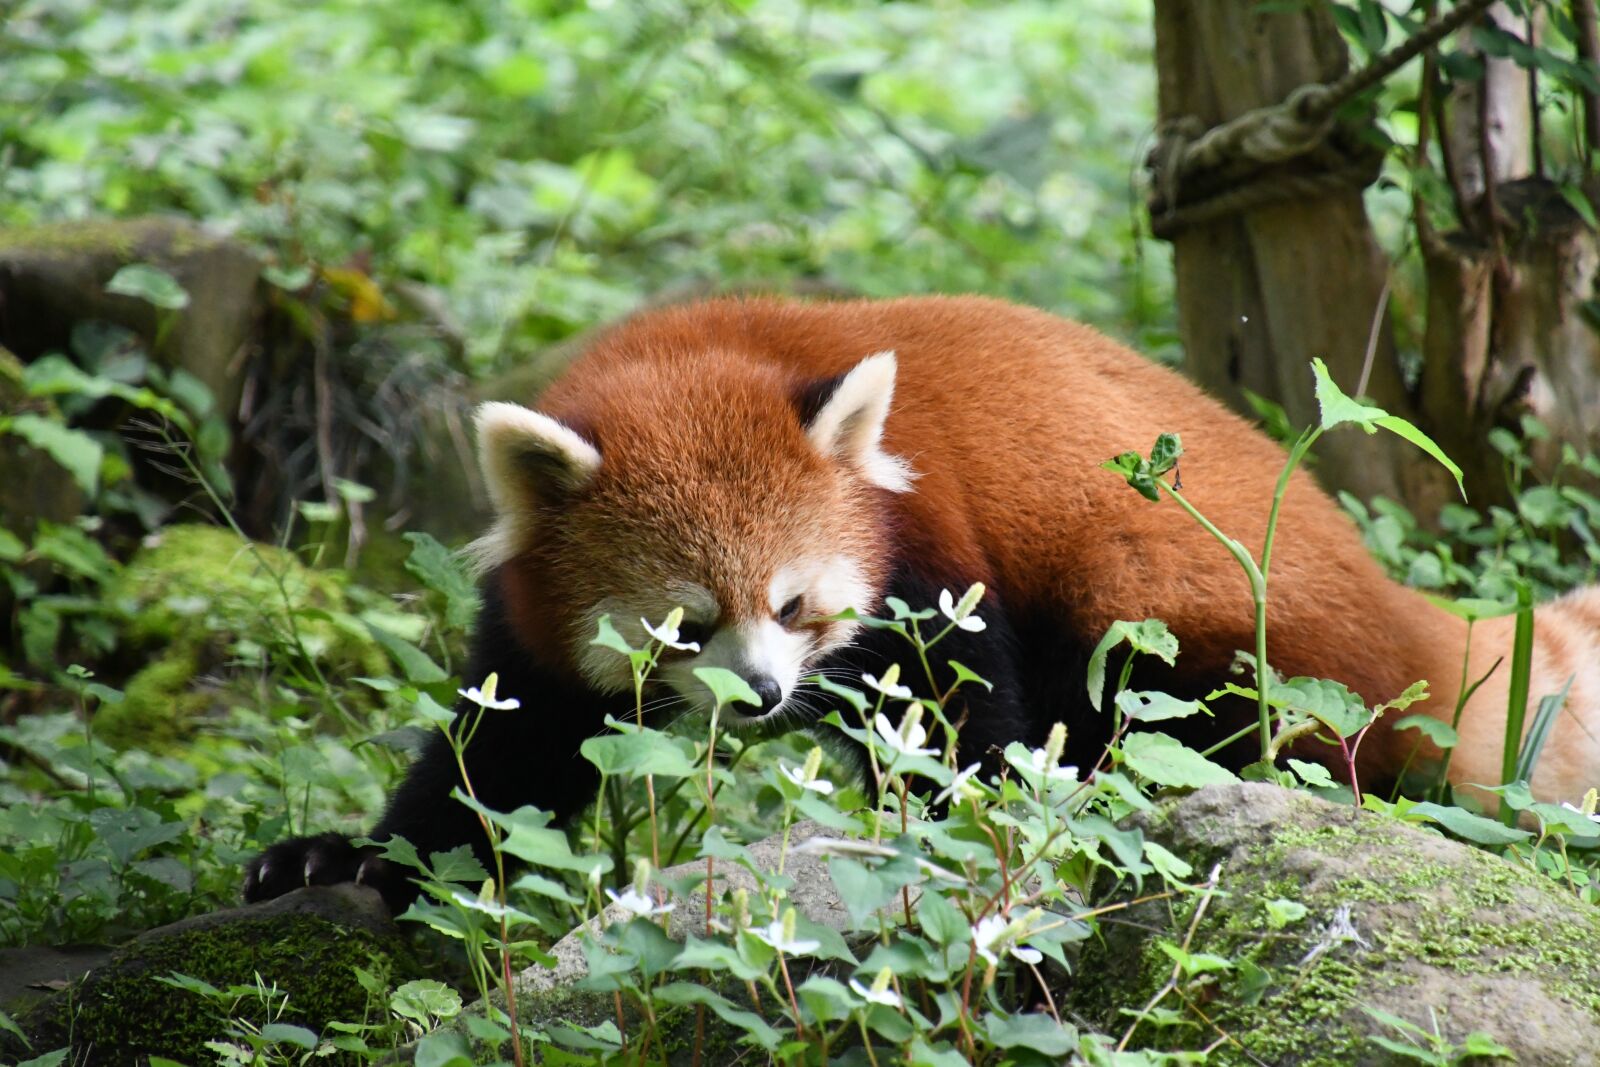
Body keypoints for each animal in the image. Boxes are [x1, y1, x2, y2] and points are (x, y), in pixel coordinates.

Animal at [240, 295, 1600, 915]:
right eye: (686, 625)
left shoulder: (930, 545)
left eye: (795, 605)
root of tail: (1408, 614)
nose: (761, 697)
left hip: (1198, 611)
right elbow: (502, 755)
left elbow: (962, 717)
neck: (709, 347)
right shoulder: (537, 618)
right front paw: (343, 858)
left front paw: (982, 831)